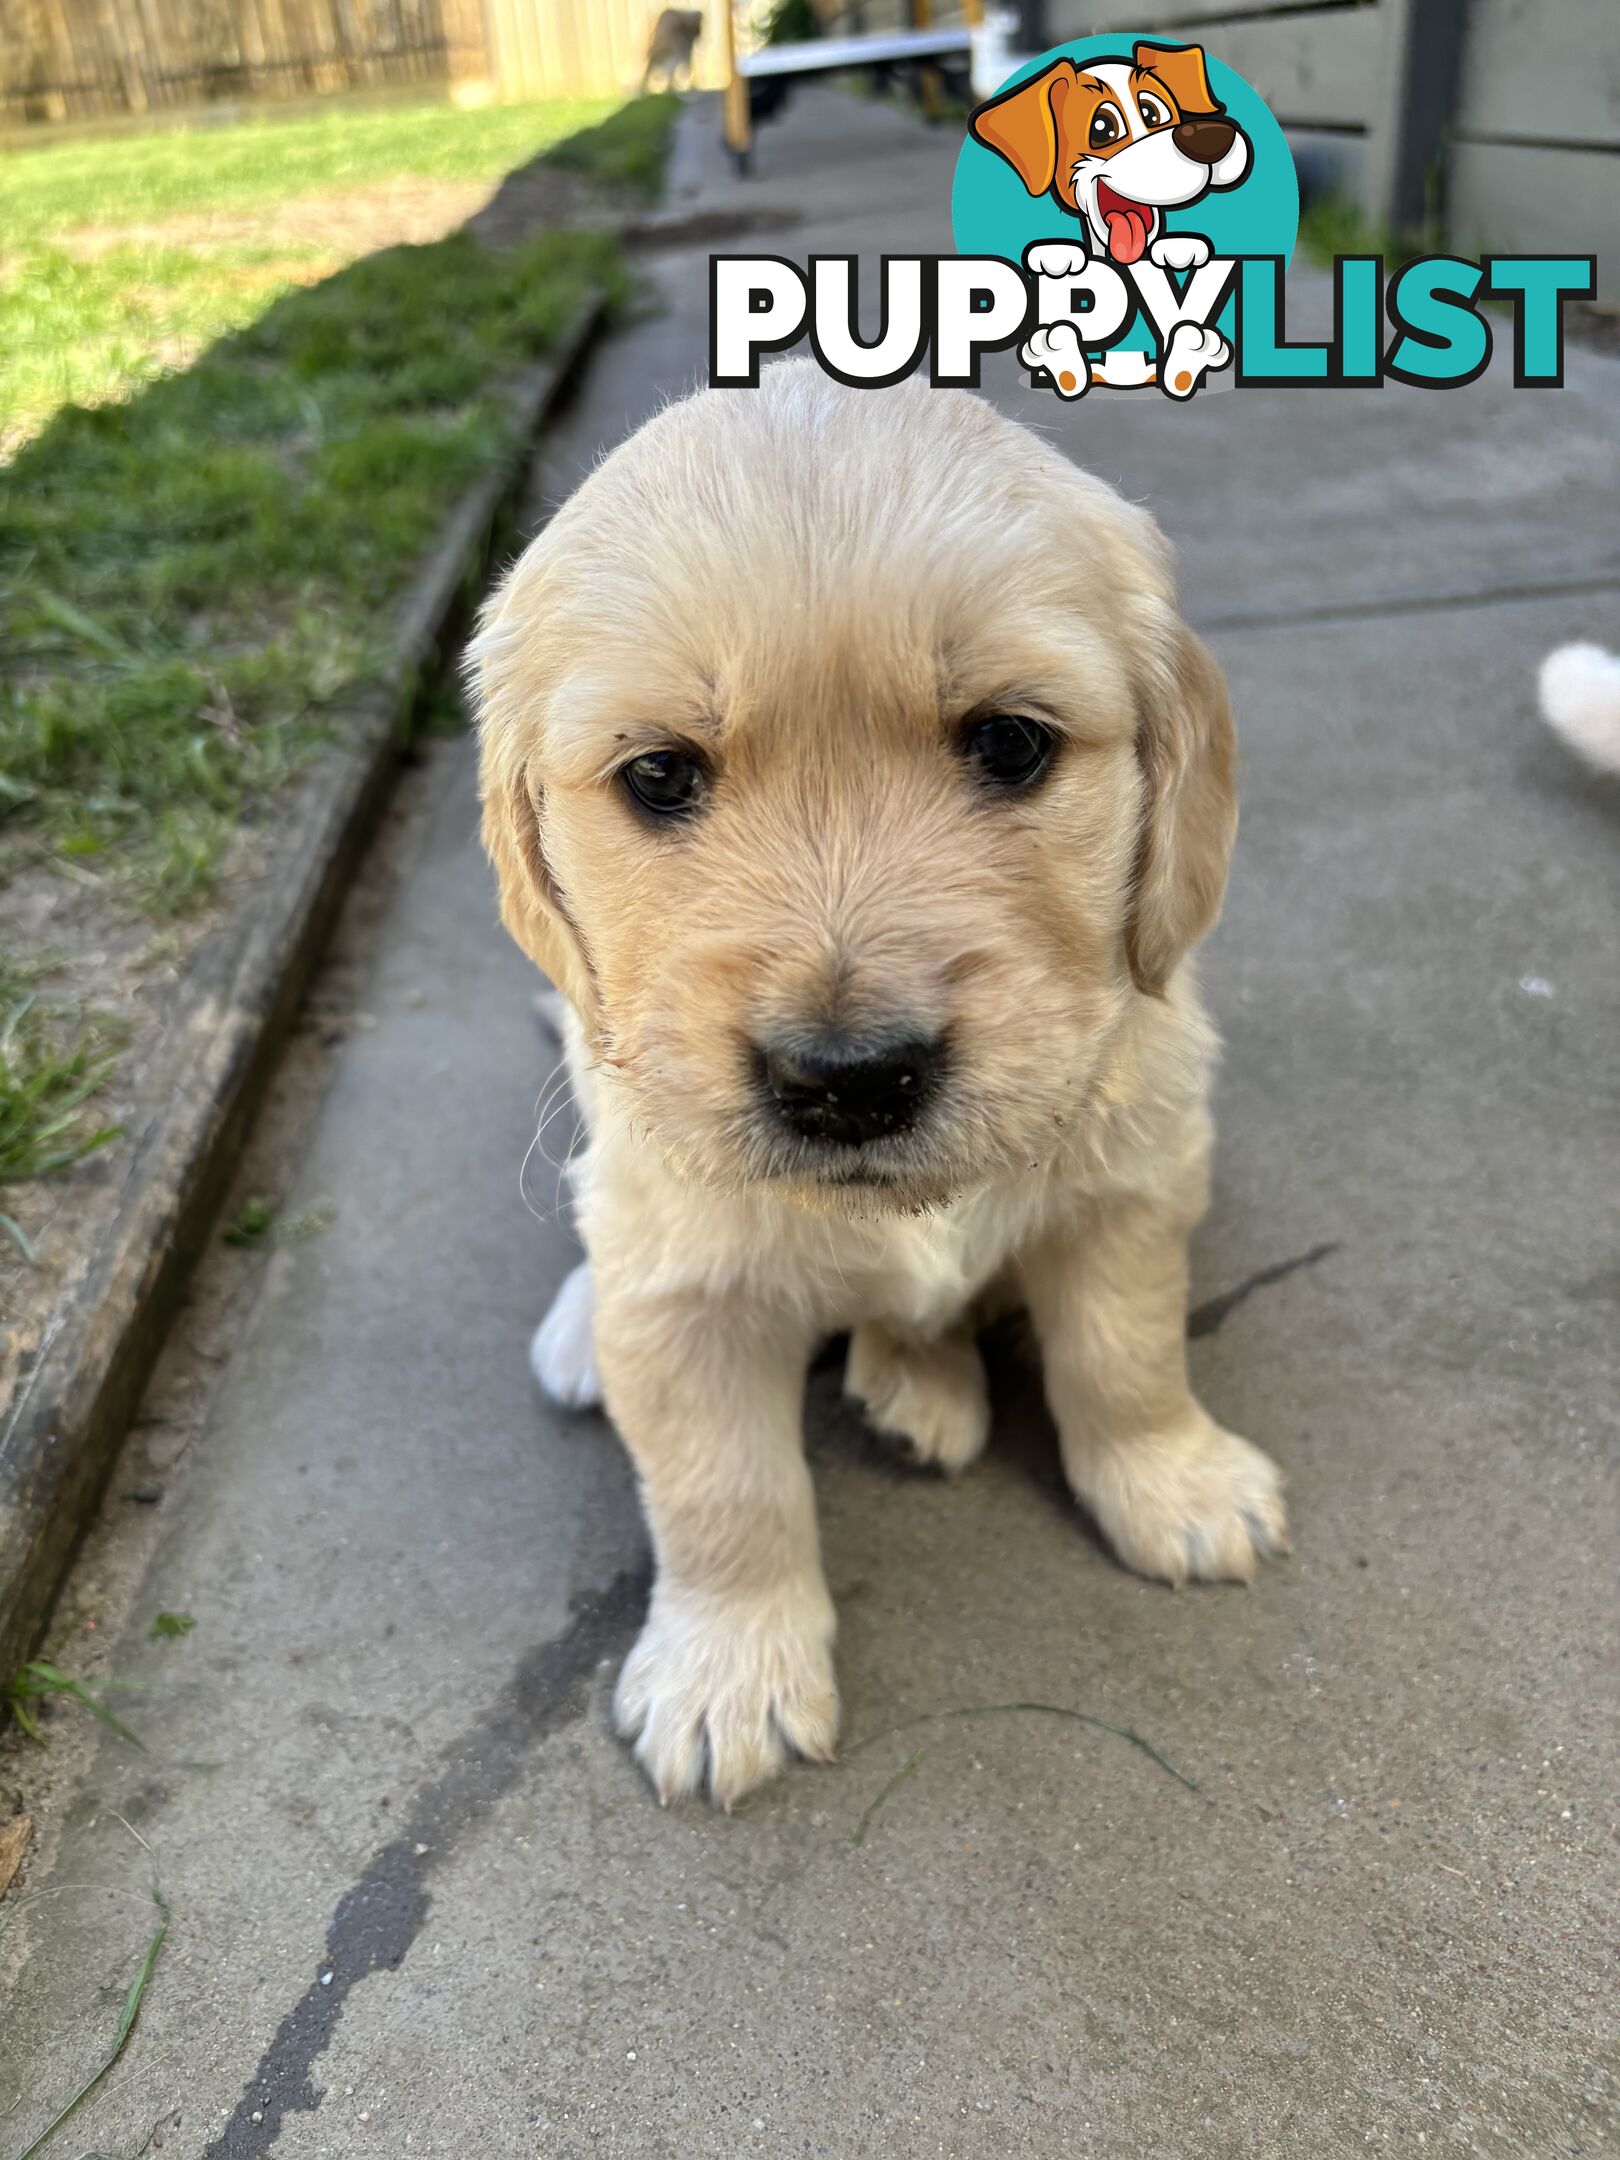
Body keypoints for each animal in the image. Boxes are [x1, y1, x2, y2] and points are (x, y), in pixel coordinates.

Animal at [473, 367, 1296, 1805]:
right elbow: (722, 1491)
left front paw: (1176, 1484)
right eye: (659, 774)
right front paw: (727, 1671)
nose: (847, 1081)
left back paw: (922, 1379)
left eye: (1011, 745)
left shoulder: (1134, 1187)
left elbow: (1126, 1356)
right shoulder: (681, 1291)